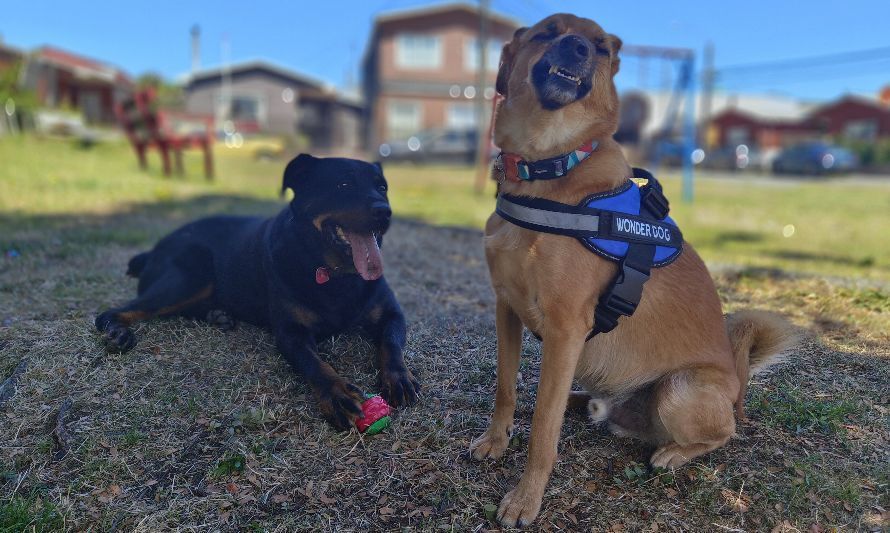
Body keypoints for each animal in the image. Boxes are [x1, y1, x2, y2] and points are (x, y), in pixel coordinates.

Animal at [95, 154, 422, 428]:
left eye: (382, 187)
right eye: (343, 184)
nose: (385, 212)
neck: (336, 274)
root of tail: (154, 249)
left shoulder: (392, 313)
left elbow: (391, 343)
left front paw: (399, 377)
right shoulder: (291, 332)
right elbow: (315, 363)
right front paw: (337, 394)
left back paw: (218, 315)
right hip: (190, 274)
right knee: (117, 311)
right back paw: (117, 334)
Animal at [468, 13, 796, 528]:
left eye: (601, 47)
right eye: (548, 31)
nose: (578, 49)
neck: (548, 168)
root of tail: (736, 383)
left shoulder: (565, 329)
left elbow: (542, 430)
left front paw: (525, 499)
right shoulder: (507, 309)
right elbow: (506, 388)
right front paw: (495, 441)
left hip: (679, 390)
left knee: (725, 434)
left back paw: (674, 453)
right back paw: (584, 403)